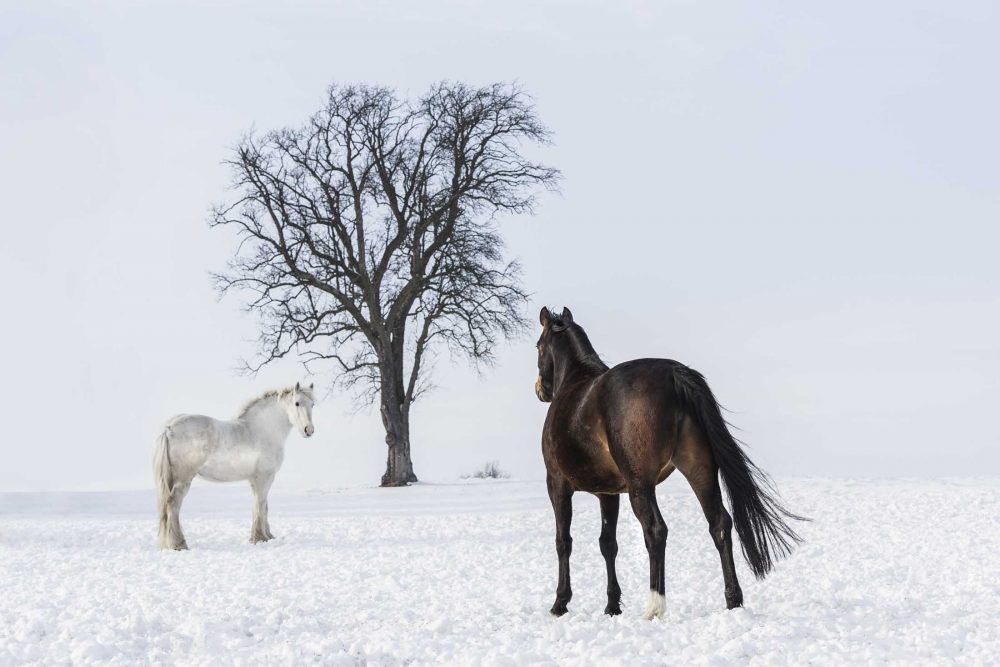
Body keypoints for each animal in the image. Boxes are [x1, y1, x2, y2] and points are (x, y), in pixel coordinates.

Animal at [153, 382, 316, 550]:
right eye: (297, 403)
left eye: (312, 404)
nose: (309, 430)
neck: (262, 430)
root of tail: (170, 428)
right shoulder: (265, 477)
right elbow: (261, 505)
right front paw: (260, 538)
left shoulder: (255, 480)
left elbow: (261, 506)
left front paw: (265, 536)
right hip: (183, 480)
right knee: (172, 506)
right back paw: (179, 544)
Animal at [535, 307, 805, 620]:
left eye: (538, 346)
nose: (540, 389)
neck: (575, 383)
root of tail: (673, 374)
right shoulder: (608, 493)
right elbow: (608, 544)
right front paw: (612, 606)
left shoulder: (557, 484)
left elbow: (563, 541)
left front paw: (560, 603)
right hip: (700, 472)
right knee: (720, 524)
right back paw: (733, 599)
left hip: (641, 486)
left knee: (656, 530)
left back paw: (655, 606)